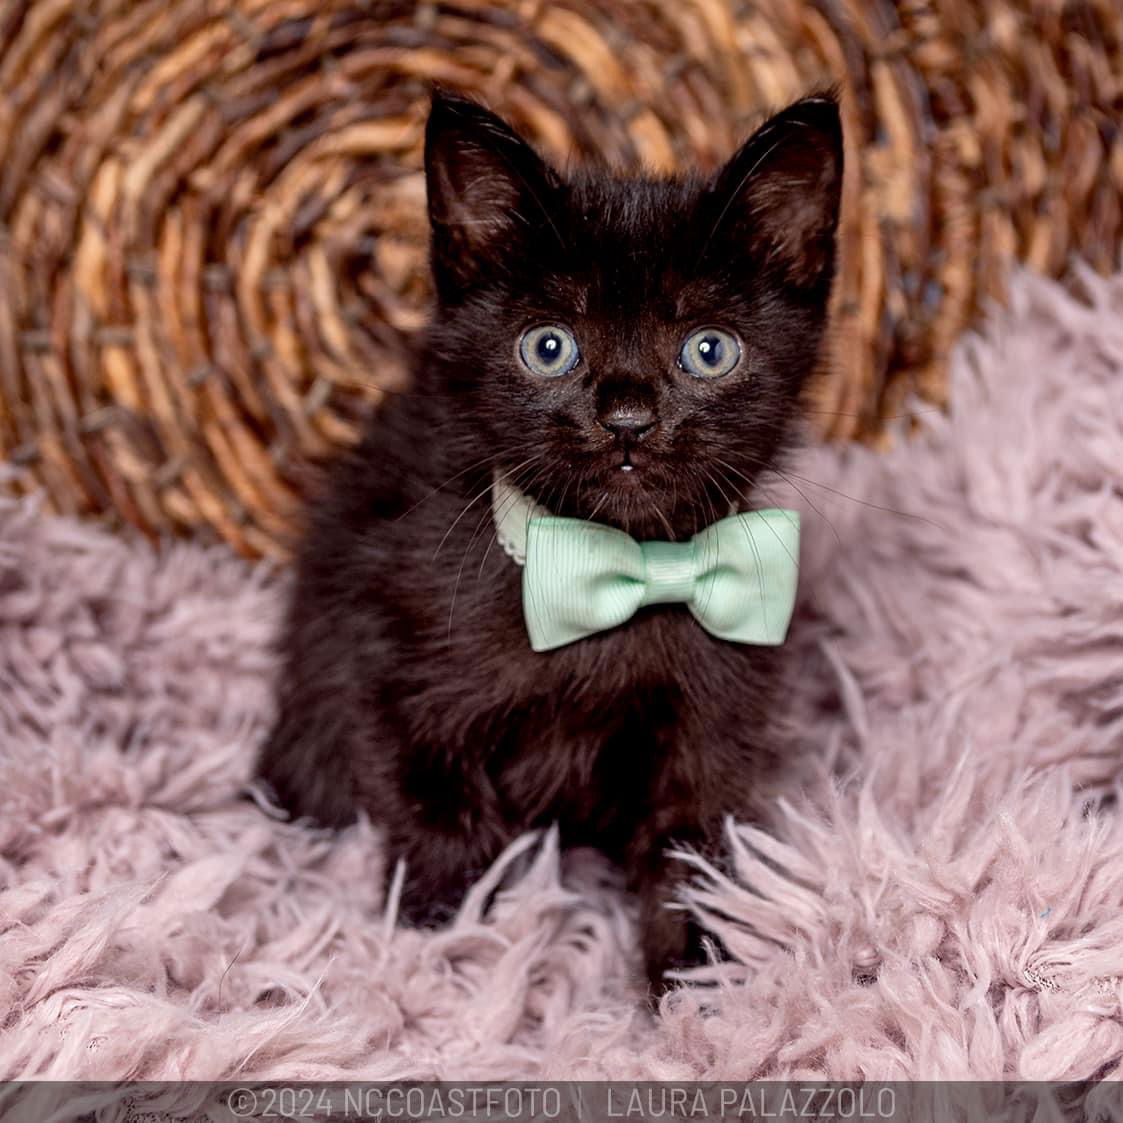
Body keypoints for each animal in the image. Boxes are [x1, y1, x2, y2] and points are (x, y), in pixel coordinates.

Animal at [258, 92, 844, 997]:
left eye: (708, 350)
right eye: (549, 346)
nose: (628, 418)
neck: (622, 567)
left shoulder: (716, 703)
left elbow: (690, 840)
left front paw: (696, 978)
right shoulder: (383, 655)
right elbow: (440, 814)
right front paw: (448, 944)